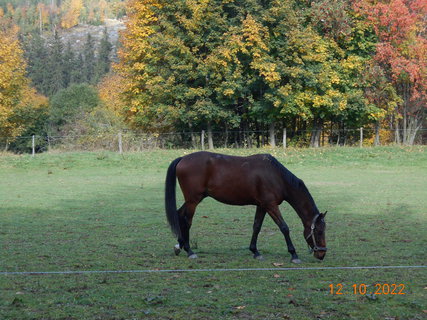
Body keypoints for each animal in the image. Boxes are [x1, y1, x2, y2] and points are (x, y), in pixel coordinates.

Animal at [164, 151, 328, 264]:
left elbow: (256, 227)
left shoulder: (262, 206)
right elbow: (284, 227)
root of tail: (183, 158)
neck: (276, 176)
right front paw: (293, 255)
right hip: (193, 201)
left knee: (179, 215)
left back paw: (179, 245)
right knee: (187, 221)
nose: (322, 254)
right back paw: (189, 250)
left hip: (193, 200)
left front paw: (255, 251)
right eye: (319, 232)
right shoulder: (271, 205)